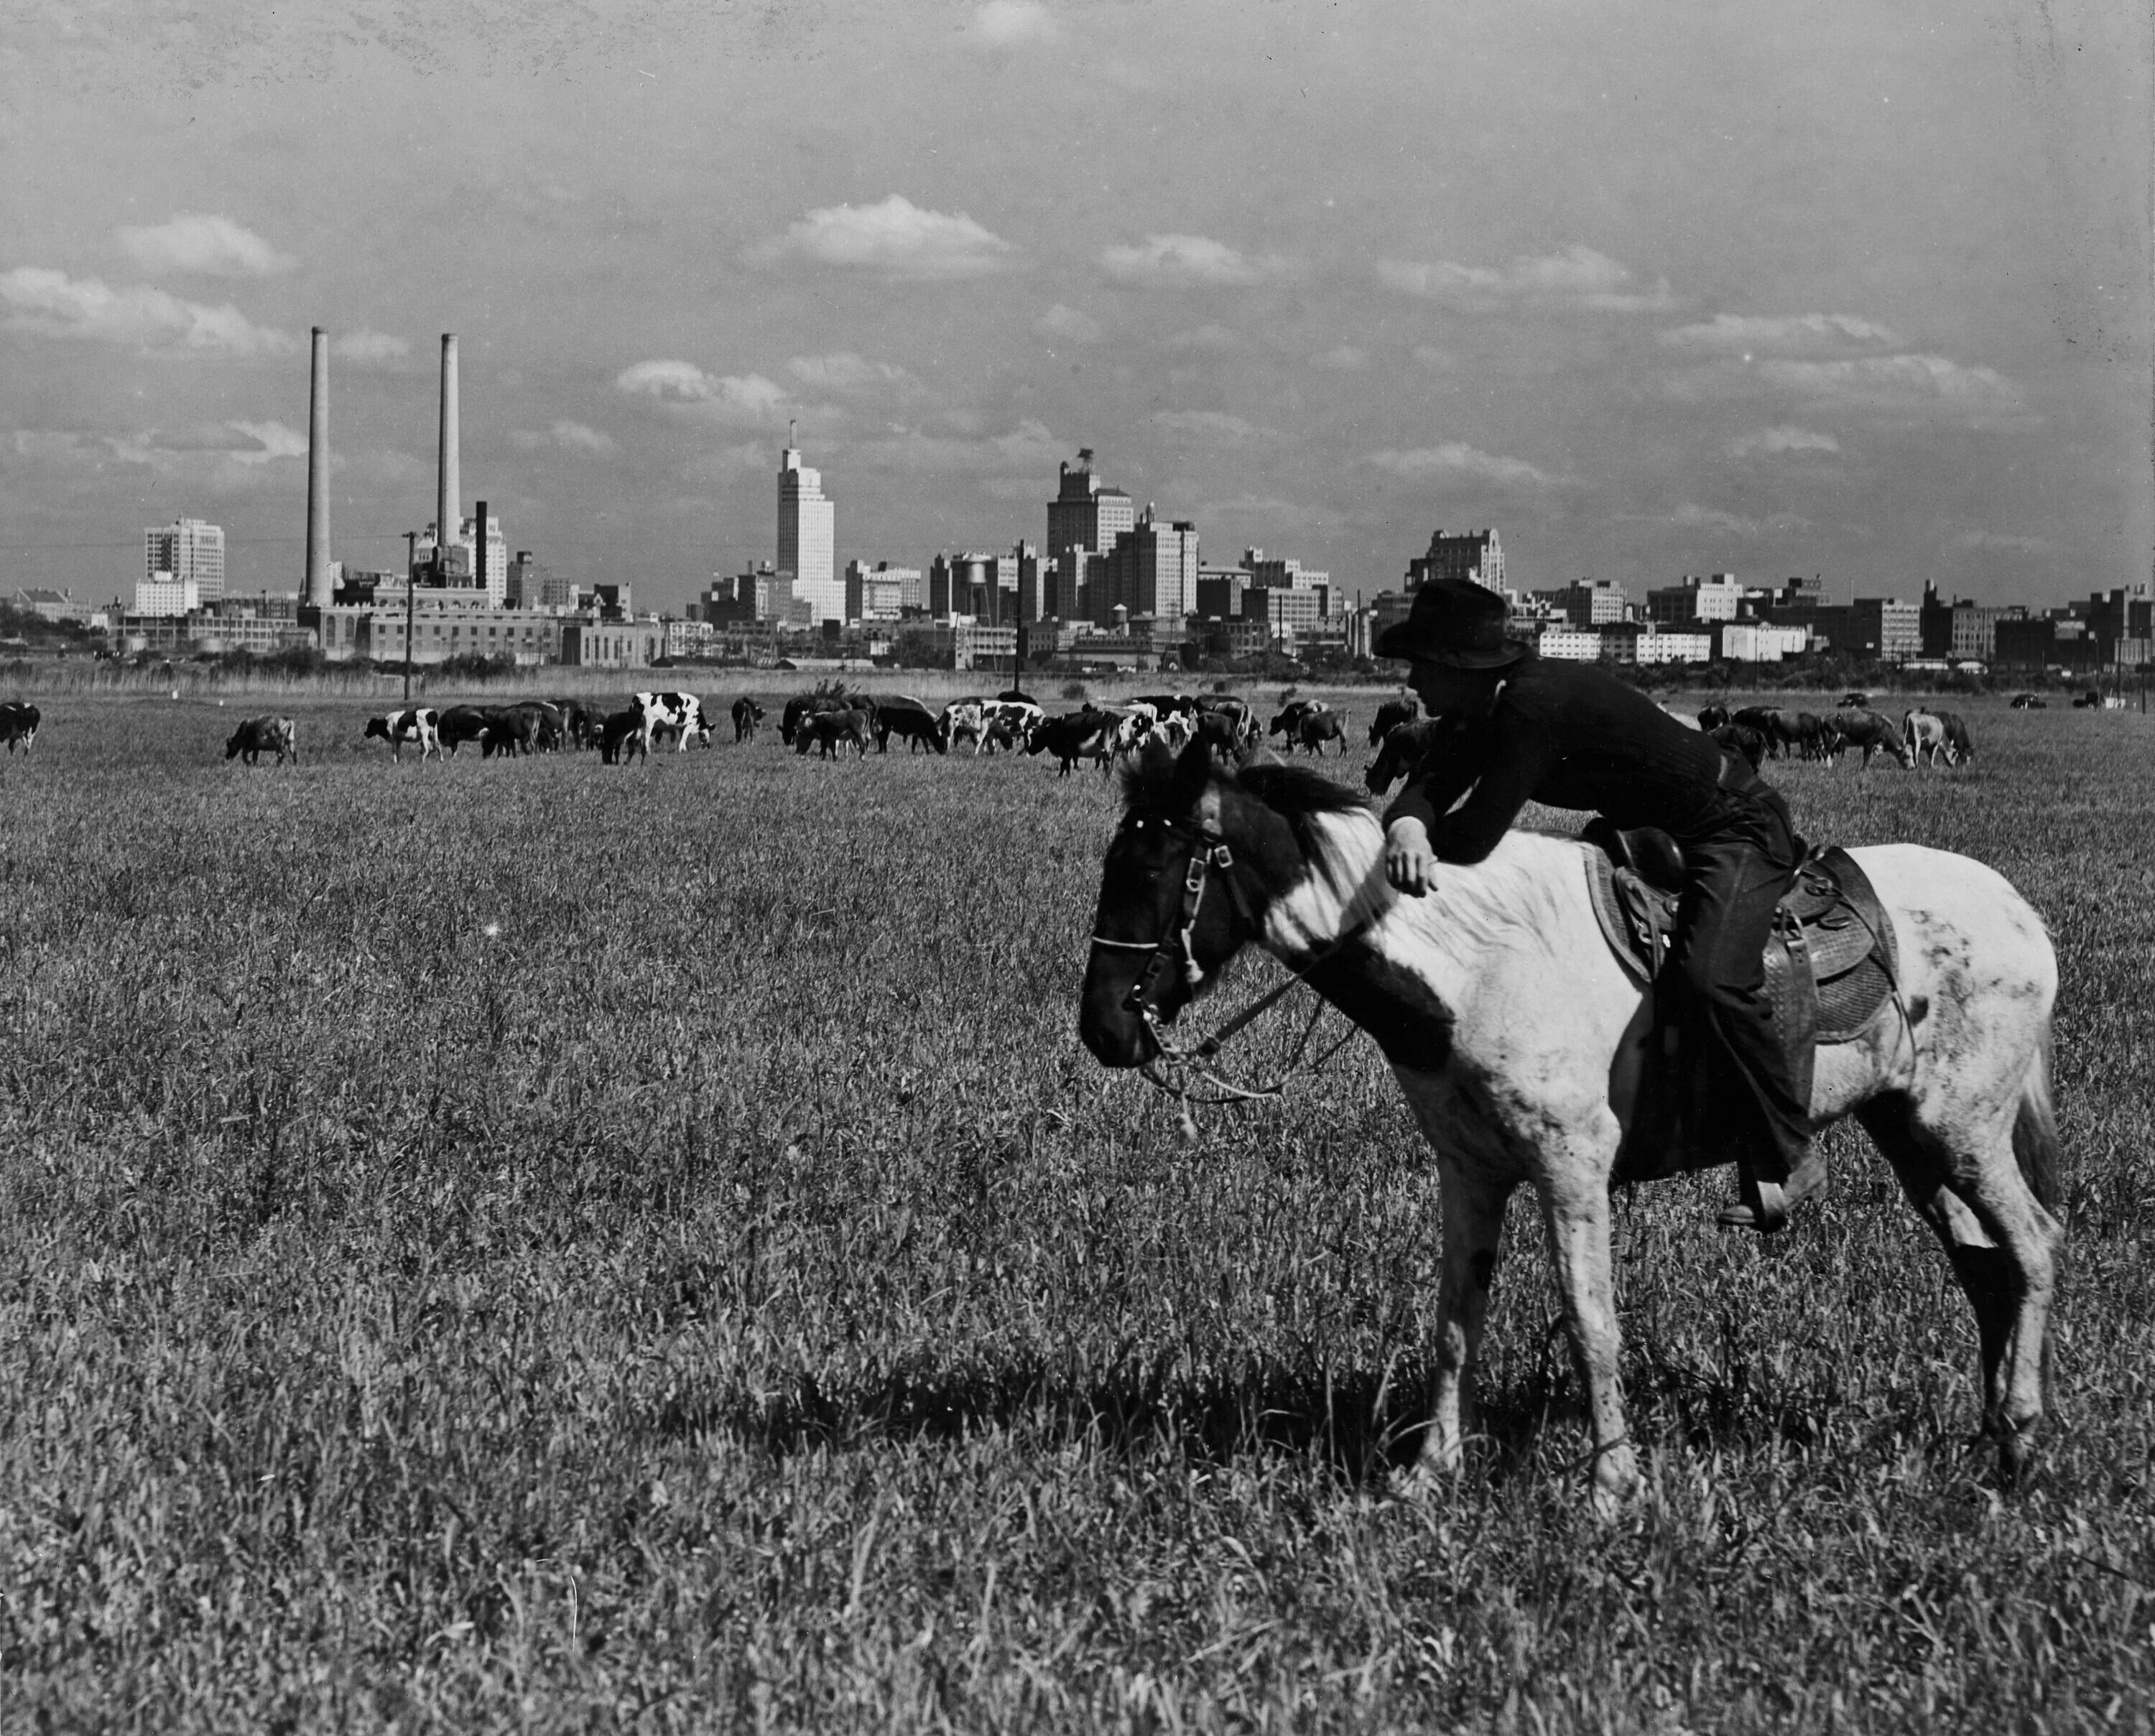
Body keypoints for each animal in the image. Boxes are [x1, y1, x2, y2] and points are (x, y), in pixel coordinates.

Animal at [1086, 749, 2060, 1525]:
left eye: (1157, 865)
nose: (1102, 1027)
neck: (1473, 964)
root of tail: (2019, 913)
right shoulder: (1471, 1171)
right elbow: (1455, 1319)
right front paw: (1430, 1472)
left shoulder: (1572, 1168)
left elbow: (1592, 1321)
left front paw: (1612, 1486)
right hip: (1909, 1131)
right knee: (1983, 1267)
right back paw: (1990, 1435)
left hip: (1965, 1127)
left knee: (2035, 1246)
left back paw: (2022, 1436)